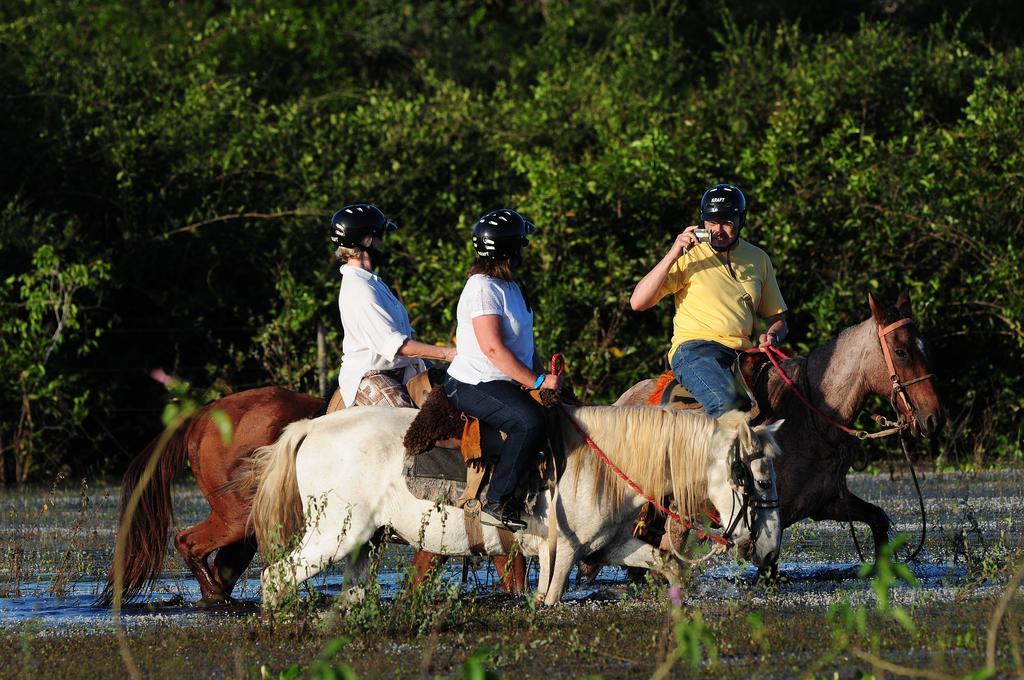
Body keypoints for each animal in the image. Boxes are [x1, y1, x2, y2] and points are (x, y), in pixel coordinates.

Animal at [96, 387, 524, 606]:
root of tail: (203, 414)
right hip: (239, 519)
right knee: (188, 542)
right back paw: (218, 599)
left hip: (248, 531)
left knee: (218, 563)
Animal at [241, 401, 782, 606]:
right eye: (756, 476)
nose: (768, 548)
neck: (601, 462)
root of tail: (313, 426)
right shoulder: (562, 553)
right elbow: (547, 600)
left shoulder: (608, 547)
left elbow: (669, 565)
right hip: (334, 535)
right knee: (276, 578)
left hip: (363, 543)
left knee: (349, 596)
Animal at [614, 288, 942, 561]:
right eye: (901, 351)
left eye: (926, 347)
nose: (933, 419)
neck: (812, 417)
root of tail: (623, 399)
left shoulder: (829, 501)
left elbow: (877, 518)